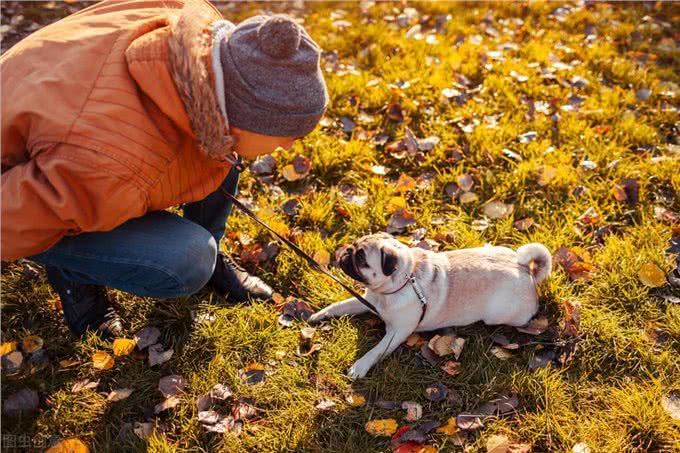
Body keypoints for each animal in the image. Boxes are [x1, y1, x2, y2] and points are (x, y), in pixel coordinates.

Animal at [310, 233, 552, 378]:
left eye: (361, 258)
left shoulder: (396, 333)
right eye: (353, 246)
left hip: (501, 316)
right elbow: (341, 305)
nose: (346, 251)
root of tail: (526, 270)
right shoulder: (367, 300)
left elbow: (376, 350)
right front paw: (320, 314)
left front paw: (360, 366)